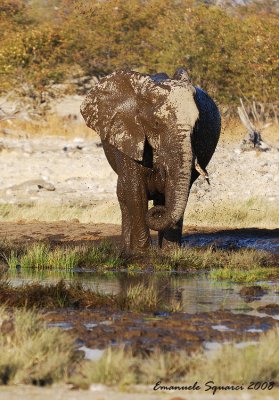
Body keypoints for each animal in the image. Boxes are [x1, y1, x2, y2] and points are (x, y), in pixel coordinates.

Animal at [80, 66, 221, 253]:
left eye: (196, 126)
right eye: (156, 124)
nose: (159, 212)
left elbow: (172, 189)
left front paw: (170, 253)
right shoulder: (128, 136)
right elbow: (136, 191)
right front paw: (143, 252)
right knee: (123, 195)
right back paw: (126, 249)